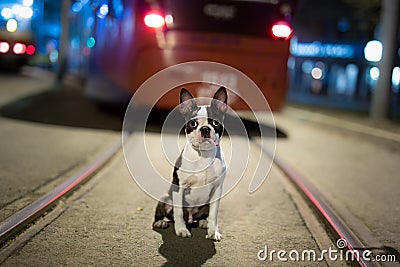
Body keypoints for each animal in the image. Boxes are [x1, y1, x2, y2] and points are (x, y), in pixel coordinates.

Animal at [153, 87, 228, 242]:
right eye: (193, 124)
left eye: (215, 123)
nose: (205, 129)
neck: (203, 155)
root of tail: (191, 219)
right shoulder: (179, 187)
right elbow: (179, 212)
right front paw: (181, 230)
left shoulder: (217, 189)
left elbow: (214, 214)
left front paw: (213, 231)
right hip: (165, 198)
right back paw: (160, 222)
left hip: (205, 204)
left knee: (205, 214)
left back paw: (204, 222)